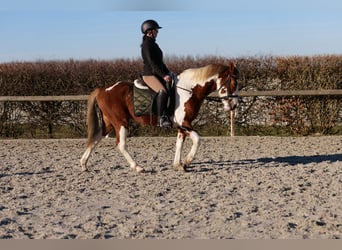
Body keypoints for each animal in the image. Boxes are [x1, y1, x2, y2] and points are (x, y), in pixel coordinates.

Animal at [80, 62, 239, 172]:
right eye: (232, 83)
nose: (234, 105)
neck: (189, 90)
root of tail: (104, 90)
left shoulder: (182, 126)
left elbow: (179, 144)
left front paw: (178, 165)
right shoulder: (185, 123)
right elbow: (198, 139)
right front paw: (187, 162)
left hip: (109, 122)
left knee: (96, 138)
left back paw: (83, 164)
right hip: (121, 122)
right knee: (121, 144)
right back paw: (137, 167)